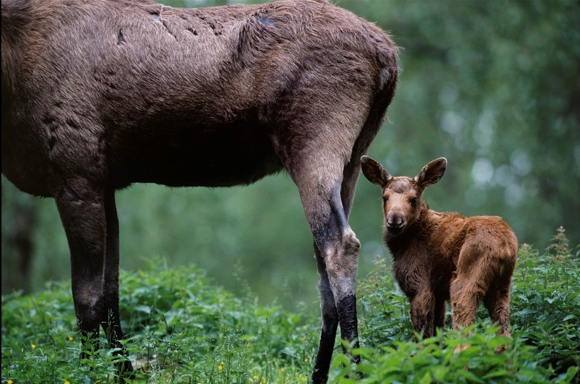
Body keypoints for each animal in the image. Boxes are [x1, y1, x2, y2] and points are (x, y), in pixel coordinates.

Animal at [1, 0, 398, 380]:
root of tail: (389, 57)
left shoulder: (75, 174)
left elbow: (86, 299)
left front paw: (90, 373)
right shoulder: (106, 182)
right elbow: (111, 290)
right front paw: (124, 373)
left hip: (314, 143)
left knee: (340, 246)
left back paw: (355, 370)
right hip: (352, 159)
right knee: (322, 267)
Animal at [360, 155, 520, 348]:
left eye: (413, 199)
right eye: (385, 197)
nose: (394, 220)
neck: (401, 246)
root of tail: (505, 246)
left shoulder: (420, 286)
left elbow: (423, 338)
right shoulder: (438, 293)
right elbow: (437, 335)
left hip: (464, 280)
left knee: (465, 332)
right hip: (502, 286)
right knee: (505, 337)